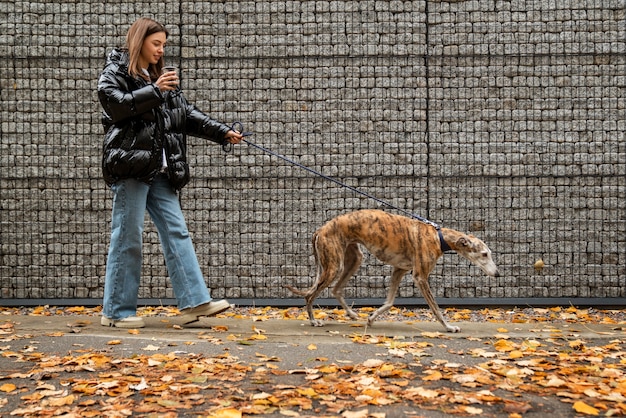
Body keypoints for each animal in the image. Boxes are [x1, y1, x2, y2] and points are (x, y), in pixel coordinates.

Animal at [286, 209, 498, 334]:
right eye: (484, 254)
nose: (497, 274)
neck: (439, 237)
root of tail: (320, 229)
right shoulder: (420, 277)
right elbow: (436, 308)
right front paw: (449, 326)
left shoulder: (399, 270)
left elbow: (389, 302)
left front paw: (371, 318)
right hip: (333, 266)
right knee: (310, 295)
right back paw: (314, 321)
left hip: (354, 259)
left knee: (336, 289)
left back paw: (352, 314)